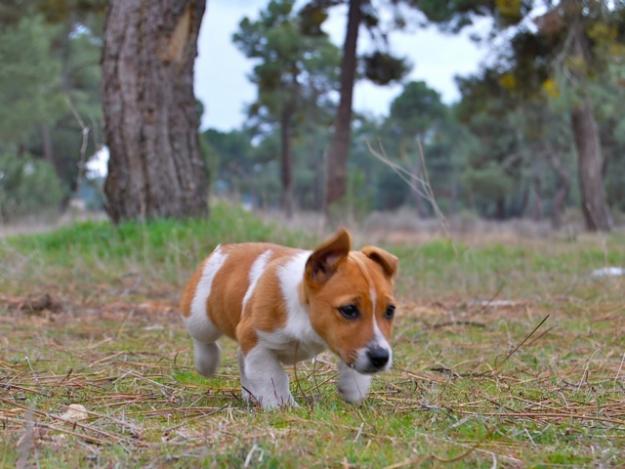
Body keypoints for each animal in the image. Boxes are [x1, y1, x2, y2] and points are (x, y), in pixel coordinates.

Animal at [178, 229, 398, 408]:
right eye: (349, 309)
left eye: (390, 311)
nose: (381, 358)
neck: (303, 313)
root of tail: (225, 249)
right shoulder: (256, 341)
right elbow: (273, 376)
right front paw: (281, 404)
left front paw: (353, 387)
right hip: (201, 319)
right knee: (203, 339)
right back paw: (207, 362)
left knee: (242, 359)